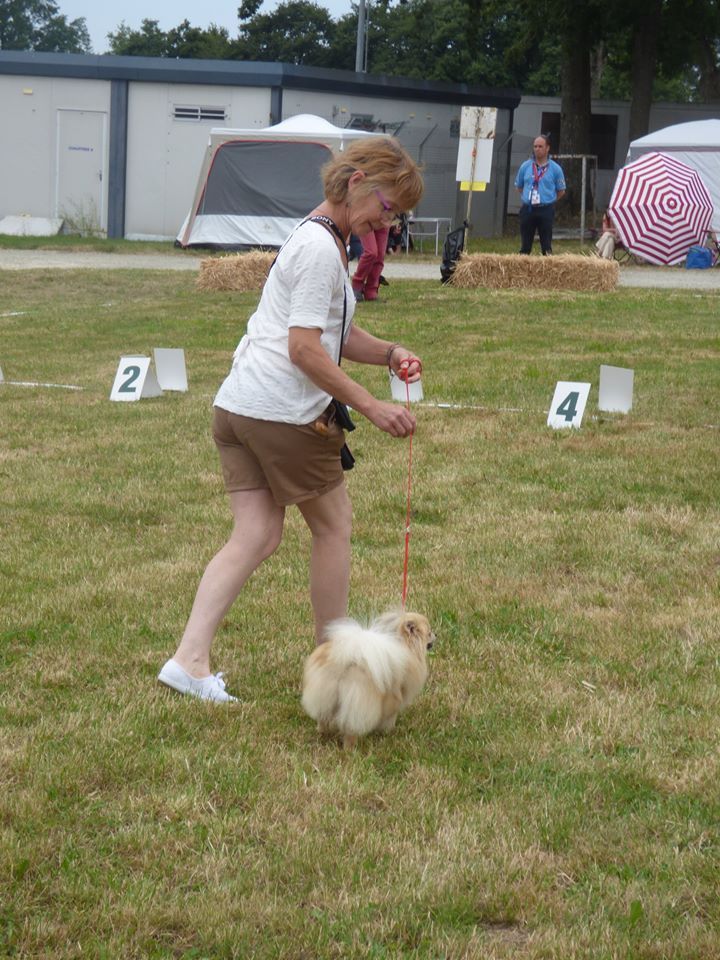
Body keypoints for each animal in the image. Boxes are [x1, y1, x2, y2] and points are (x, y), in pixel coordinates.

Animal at [302, 612, 436, 748]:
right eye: (429, 633)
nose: (436, 635)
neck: (404, 643)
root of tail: (345, 661)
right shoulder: (394, 698)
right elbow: (390, 717)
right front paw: (388, 731)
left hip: (324, 695)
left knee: (323, 718)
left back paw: (324, 734)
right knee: (351, 729)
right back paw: (350, 748)